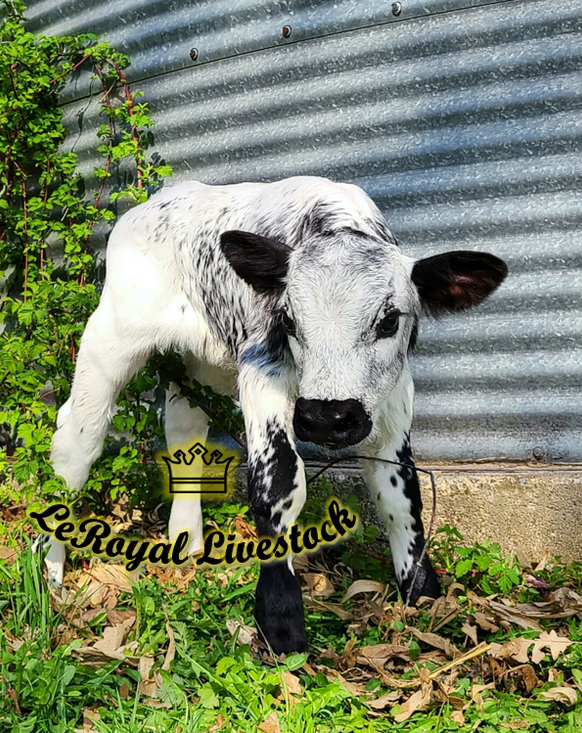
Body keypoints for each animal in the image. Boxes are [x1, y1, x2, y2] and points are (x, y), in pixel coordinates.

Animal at [39, 176, 507, 654]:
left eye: (389, 321)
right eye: (289, 320)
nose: (326, 418)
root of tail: (156, 201)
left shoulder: (394, 395)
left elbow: (400, 492)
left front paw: (423, 596)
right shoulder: (262, 369)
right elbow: (279, 480)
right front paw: (281, 622)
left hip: (198, 362)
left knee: (184, 432)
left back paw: (186, 545)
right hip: (111, 337)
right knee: (76, 441)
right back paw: (49, 570)